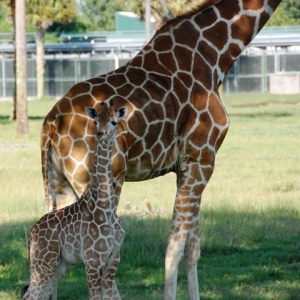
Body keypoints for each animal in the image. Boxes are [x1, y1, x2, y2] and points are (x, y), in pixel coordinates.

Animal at [22, 101, 126, 300]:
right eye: (95, 121)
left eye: (114, 121)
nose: (101, 133)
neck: (106, 208)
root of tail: (32, 232)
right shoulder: (93, 261)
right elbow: (94, 297)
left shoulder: (113, 260)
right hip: (44, 262)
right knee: (31, 294)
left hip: (58, 264)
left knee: (39, 293)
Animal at [41, 1, 282, 298]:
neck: (215, 55)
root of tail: (51, 123)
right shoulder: (202, 156)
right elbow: (175, 247)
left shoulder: (189, 165)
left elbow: (193, 248)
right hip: (101, 181)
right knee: (100, 263)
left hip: (59, 183)